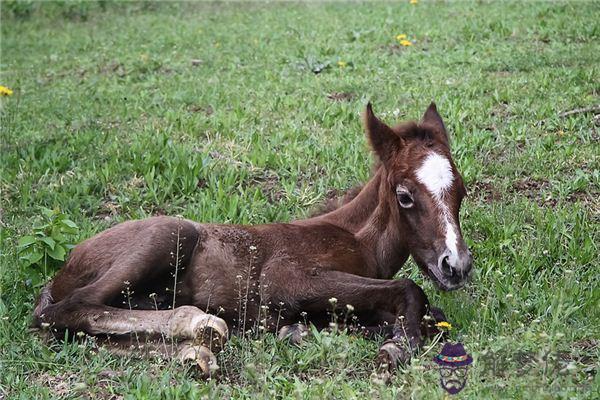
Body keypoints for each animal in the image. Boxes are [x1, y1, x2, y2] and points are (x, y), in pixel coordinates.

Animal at [32, 102, 474, 376]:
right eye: (405, 196)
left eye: (461, 191)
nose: (456, 265)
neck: (356, 239)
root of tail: (62, 270)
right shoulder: (284, 280)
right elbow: (410, 290)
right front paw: (398, 345)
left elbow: (432, 317)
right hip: (171, 232)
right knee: (67, 311)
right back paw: (198, 323)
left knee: (83, 333)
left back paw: (196, 352)